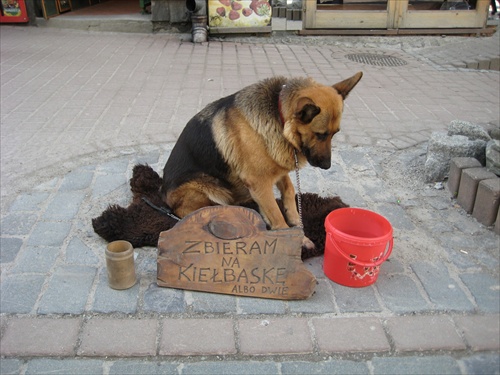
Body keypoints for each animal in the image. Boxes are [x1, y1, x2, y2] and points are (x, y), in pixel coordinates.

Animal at [164, 73, 364, 250]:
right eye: (320, 134)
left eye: (335, 134)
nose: (327, 166)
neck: (279, 117)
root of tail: (163, 196)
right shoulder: (260, 183)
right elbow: (277, 216)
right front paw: (296, 239)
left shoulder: (277, 167)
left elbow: (290, 190)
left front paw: (295, 220)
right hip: (205, 188)